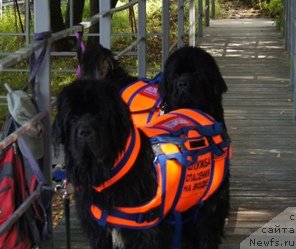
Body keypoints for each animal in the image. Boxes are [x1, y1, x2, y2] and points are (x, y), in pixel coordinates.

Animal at [52, 79, 230, 249]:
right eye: (73, 118)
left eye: (100, 114)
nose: (85, 132)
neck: (108, 173)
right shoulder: (99, 233)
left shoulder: (146, 233)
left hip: (210, 205)